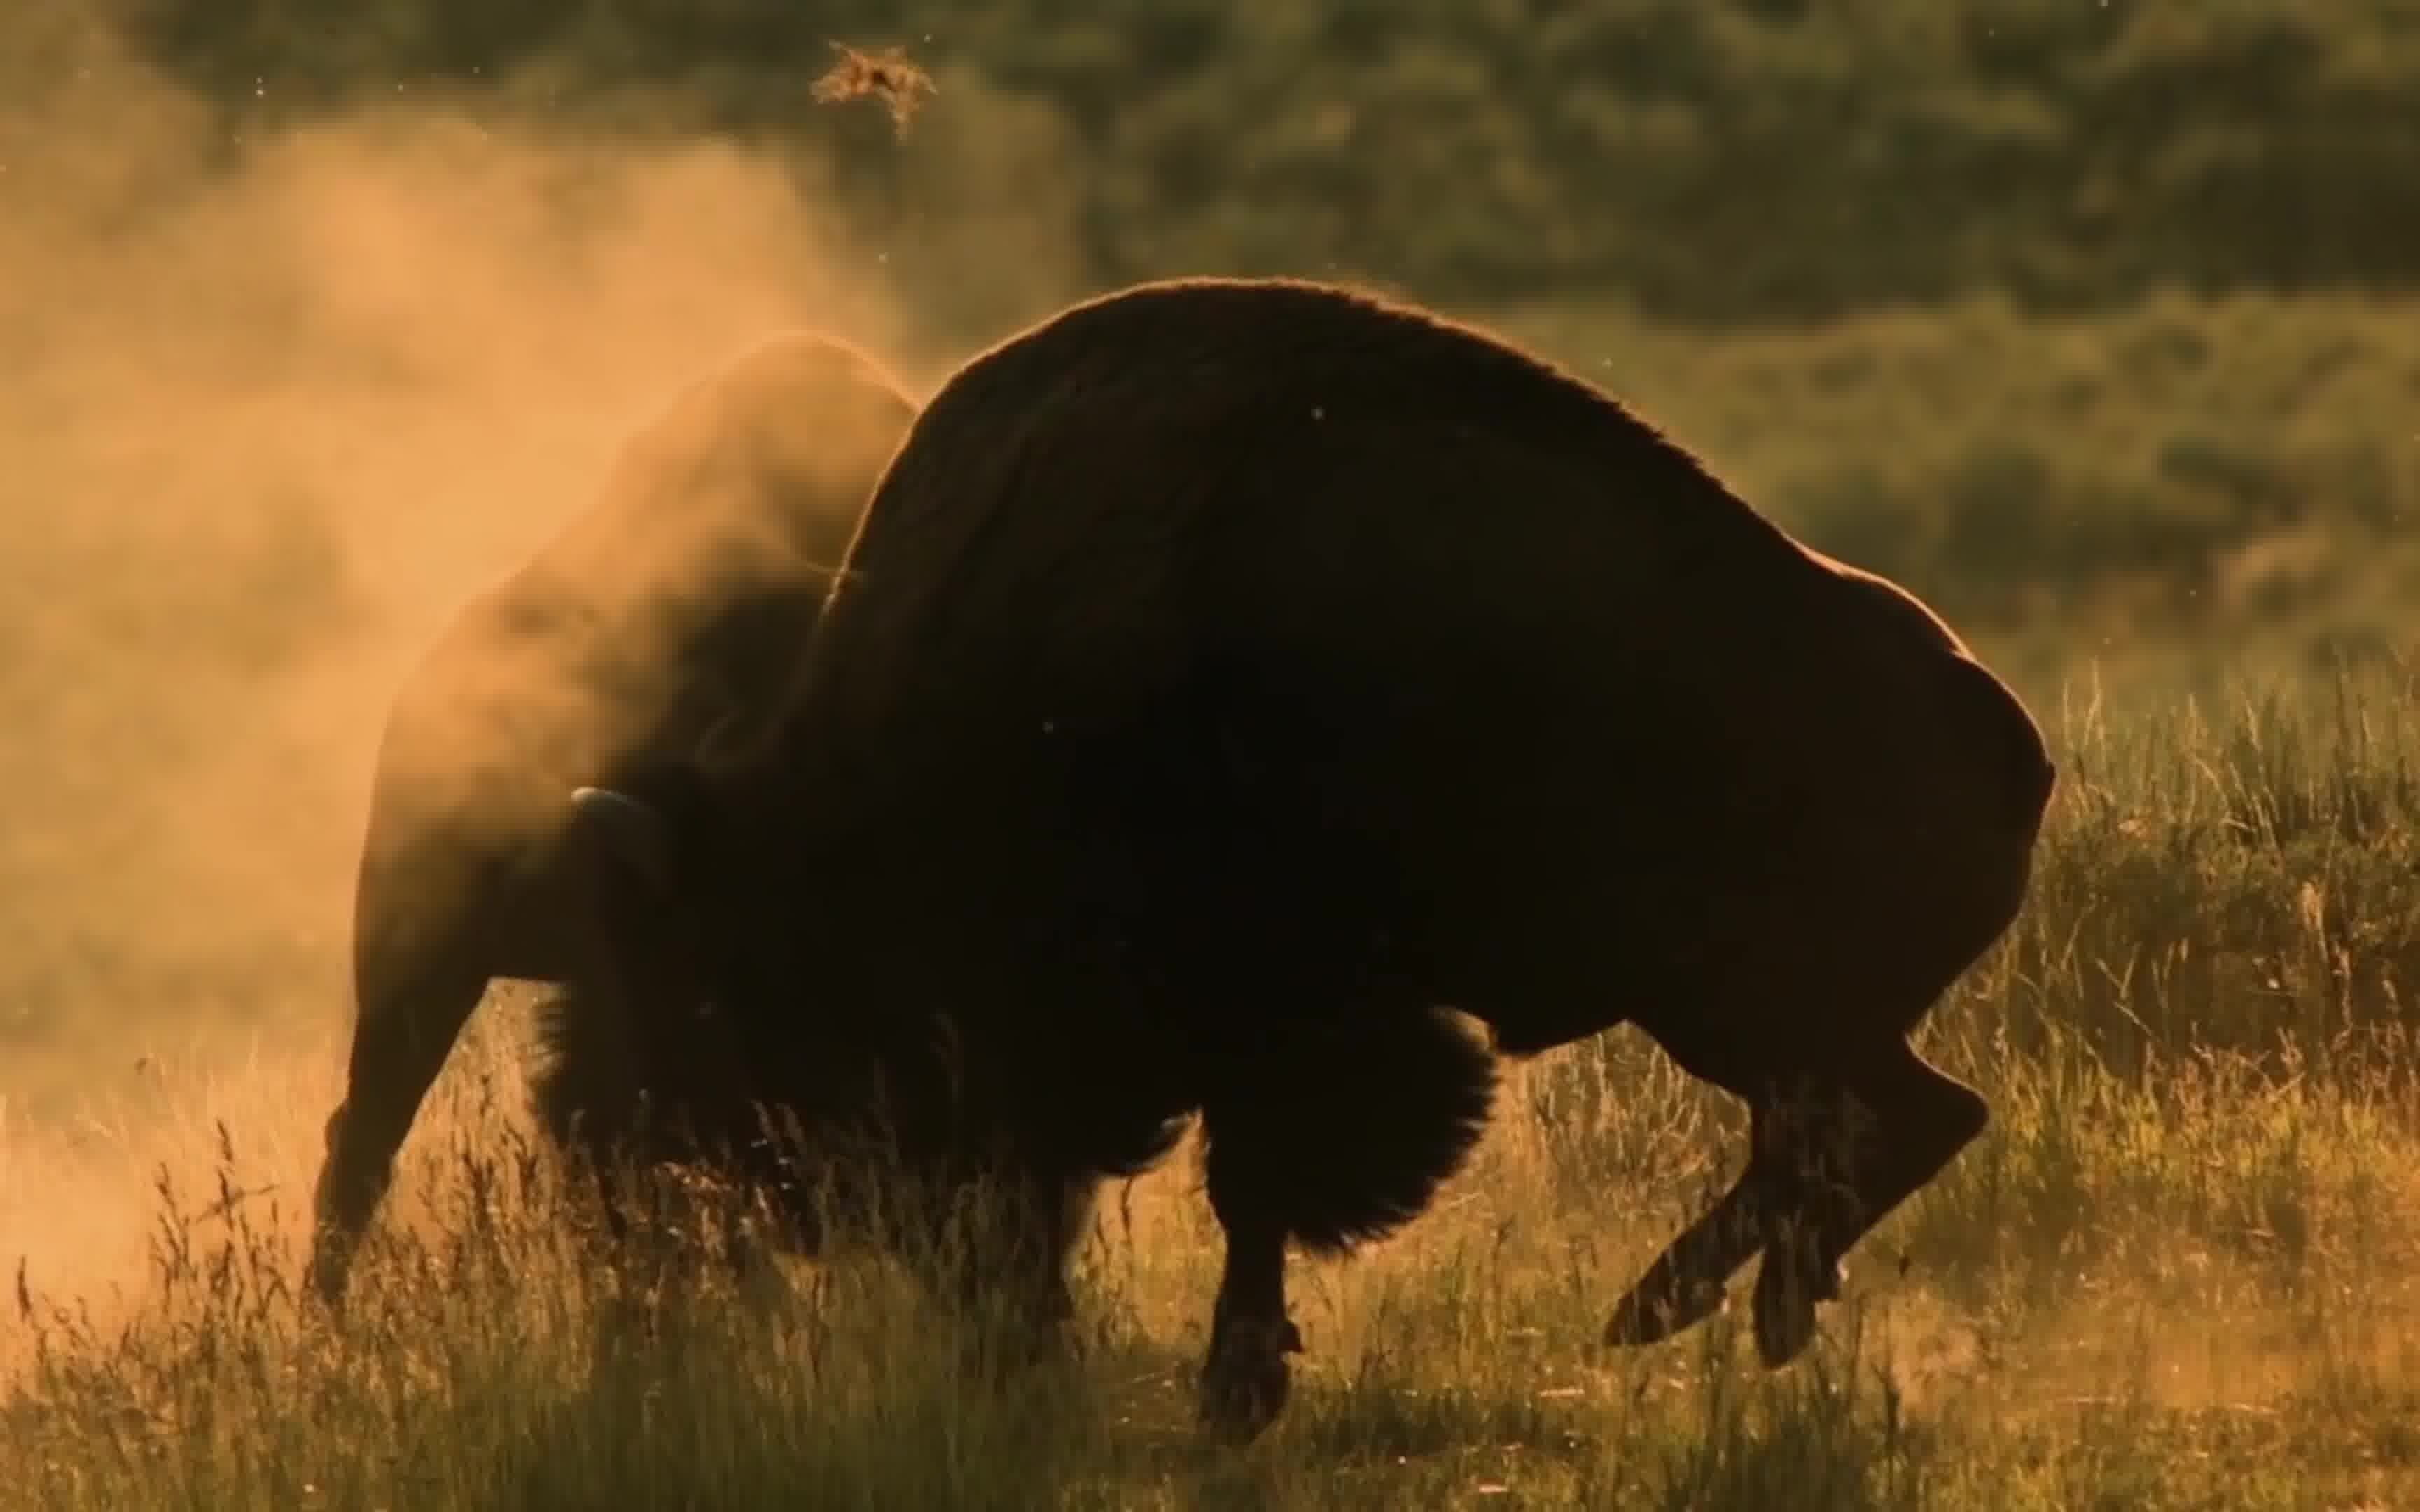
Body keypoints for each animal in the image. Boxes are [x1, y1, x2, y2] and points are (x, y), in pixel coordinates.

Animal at [539, 280, 2052, 1441]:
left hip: (1732, 1003)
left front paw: (1232, 1393)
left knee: (1881, 1123)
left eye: (708, 993)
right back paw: (1716, 1314)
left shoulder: (1278, 1023)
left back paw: (1681, 1312)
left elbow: (1250, 1191)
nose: (617, 1164)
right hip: (1745, 1021)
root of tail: (2007, 736)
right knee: (1881, 1125)